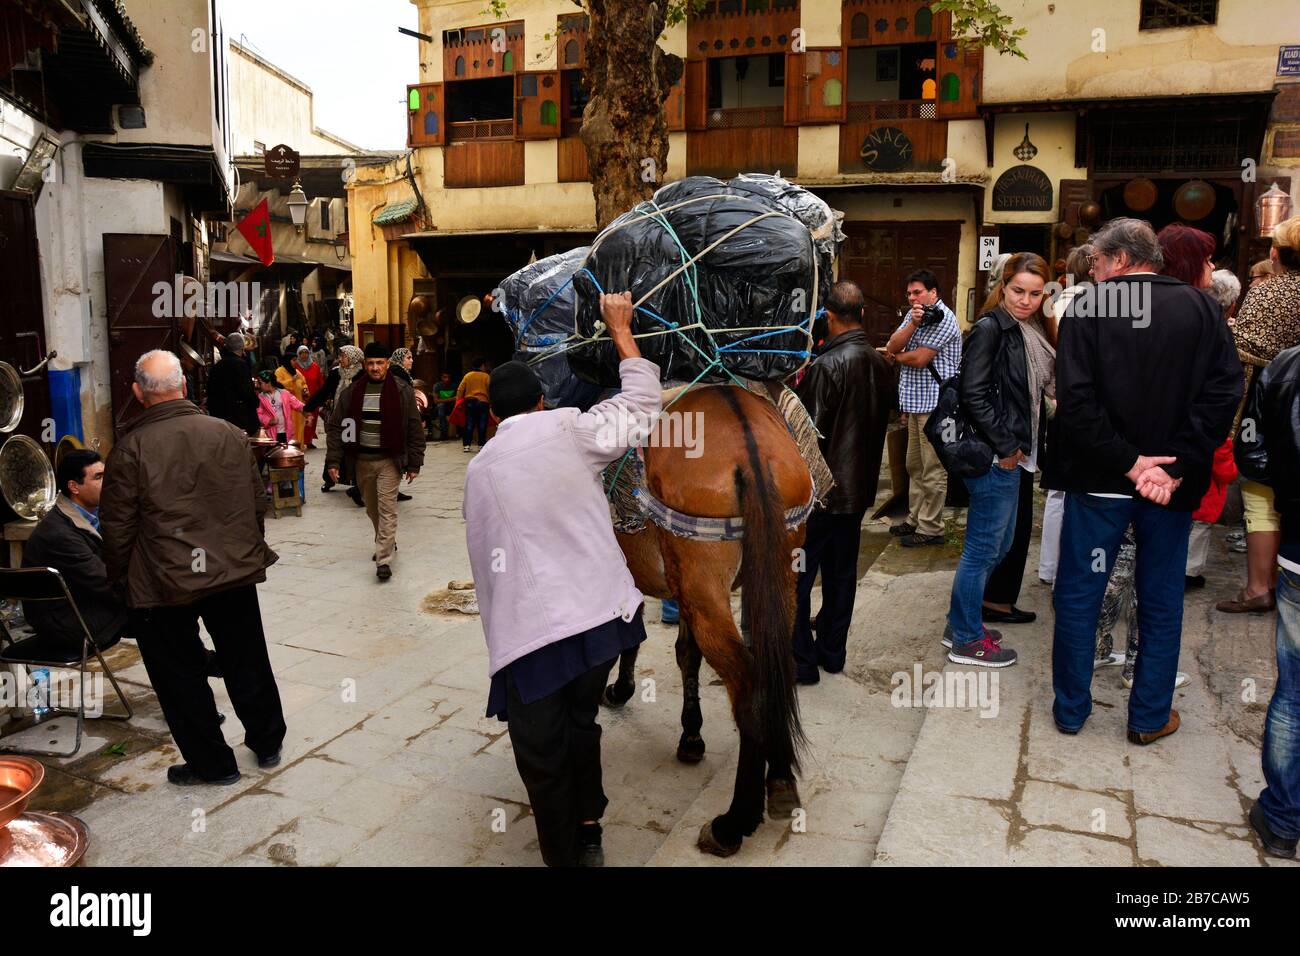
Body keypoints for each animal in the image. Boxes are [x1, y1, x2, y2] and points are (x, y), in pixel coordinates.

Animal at [603, 382, 806, 858]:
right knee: (778, 664)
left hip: (704, 582)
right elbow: (685, 654)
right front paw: (690, 735)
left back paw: (733, 822)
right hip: (775, 570)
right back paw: (780, 780)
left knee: (750, 685)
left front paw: (619, 689)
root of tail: (749, 442)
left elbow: (626, 636)